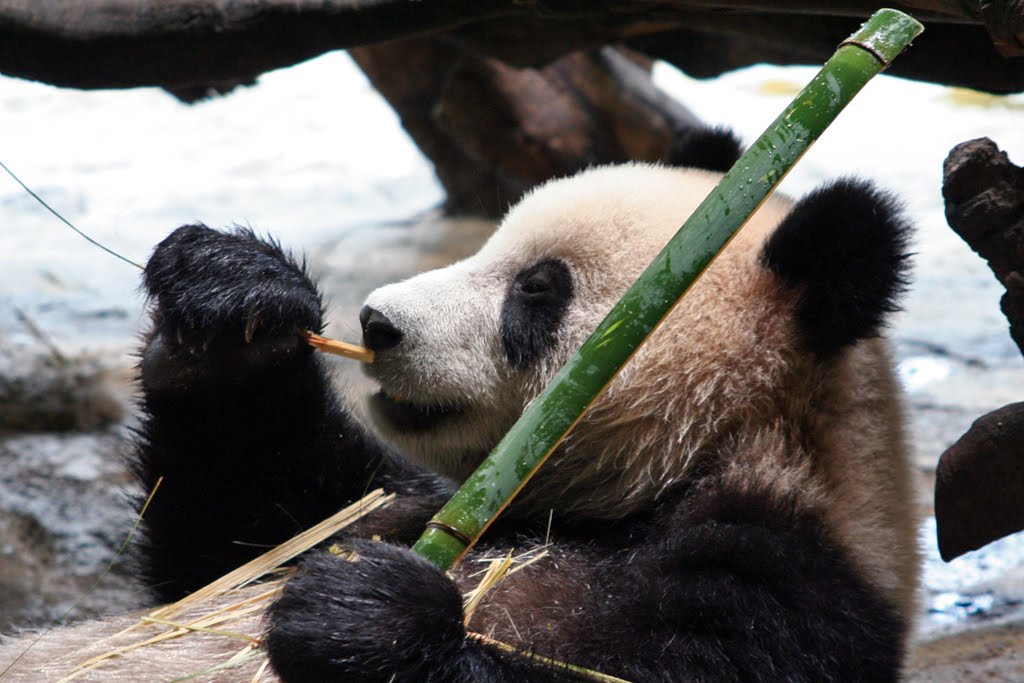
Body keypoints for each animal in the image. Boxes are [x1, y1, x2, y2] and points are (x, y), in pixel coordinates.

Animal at [0, 131, 921, 679]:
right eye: (488, 243)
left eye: (537, 291)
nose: (376, 322)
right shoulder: (411, 504)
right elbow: (233, 541)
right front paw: (232, 301)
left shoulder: (783, 587)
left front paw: (363, 615)